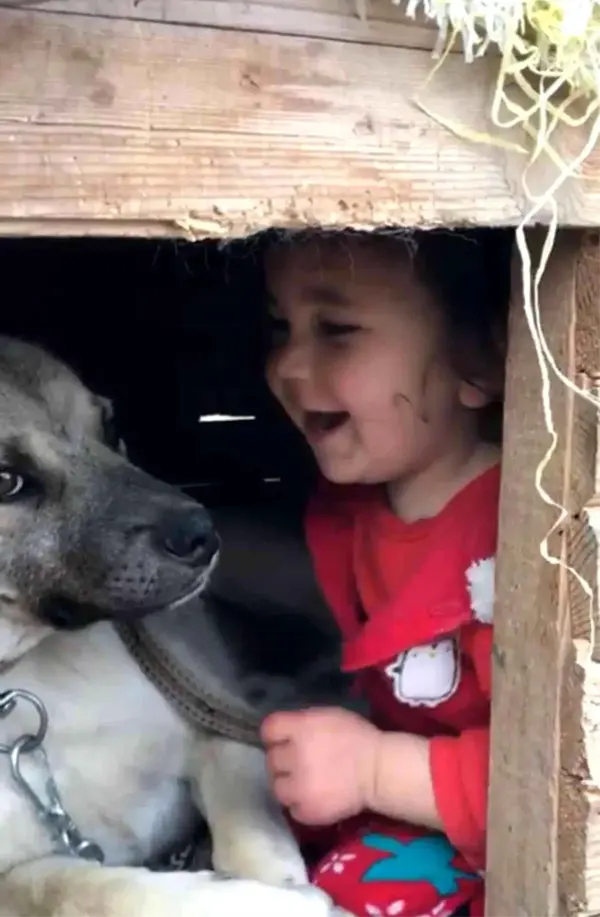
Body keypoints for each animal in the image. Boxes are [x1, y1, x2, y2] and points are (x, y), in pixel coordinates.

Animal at [0, 336, 352, 916]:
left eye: (110, 427)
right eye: (6, 480)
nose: (200, 534)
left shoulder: (220, 736)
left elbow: (251, 834)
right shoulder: (22, 875)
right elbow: (94, 890)